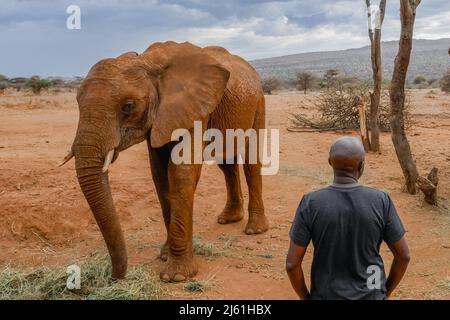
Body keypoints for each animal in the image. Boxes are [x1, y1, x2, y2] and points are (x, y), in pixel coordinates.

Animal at [61, 40, 268, 282]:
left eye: (128, 106)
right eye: (77, 102)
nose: (115, 276)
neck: (148, 61)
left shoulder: (194, 108)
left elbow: (181, 173)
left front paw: (176, 276)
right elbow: (160, 176)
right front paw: (165, 255)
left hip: (258, 101)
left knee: (251, 161)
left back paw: (255, 230)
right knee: (227, 163)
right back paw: (229, 219)